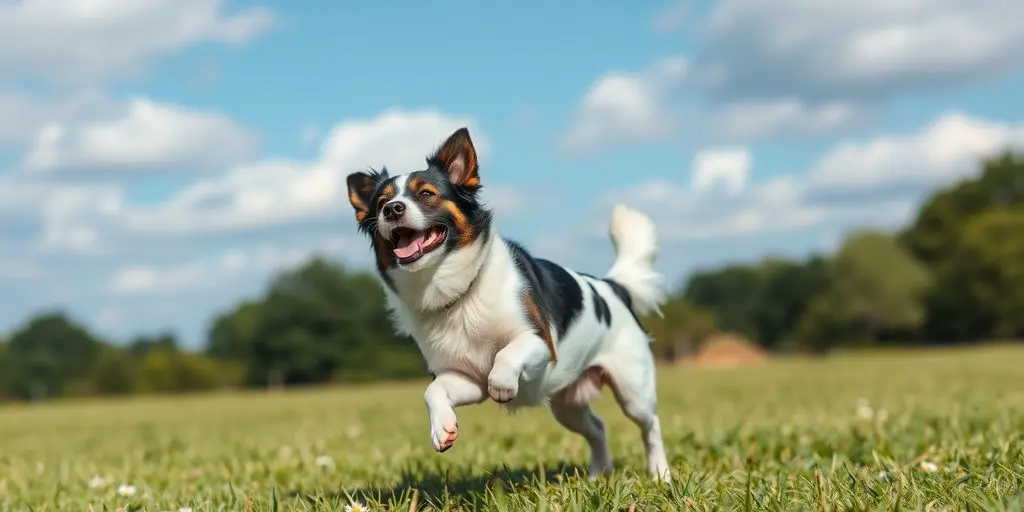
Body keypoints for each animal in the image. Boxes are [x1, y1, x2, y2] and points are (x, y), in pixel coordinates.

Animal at [348, 126, 675, 479]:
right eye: (381, 202)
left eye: (426, 193)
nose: (392, 209)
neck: (457, 292)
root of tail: (613, 287)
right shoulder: (465, 378)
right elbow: (432, 391)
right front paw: (443, 428)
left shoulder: (541, 344)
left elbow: (506, 355)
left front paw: (504, 385)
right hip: (566, 404)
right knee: (598, 427)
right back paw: (597, 475)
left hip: (632, 389)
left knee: (651, 425)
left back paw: (660, 473)